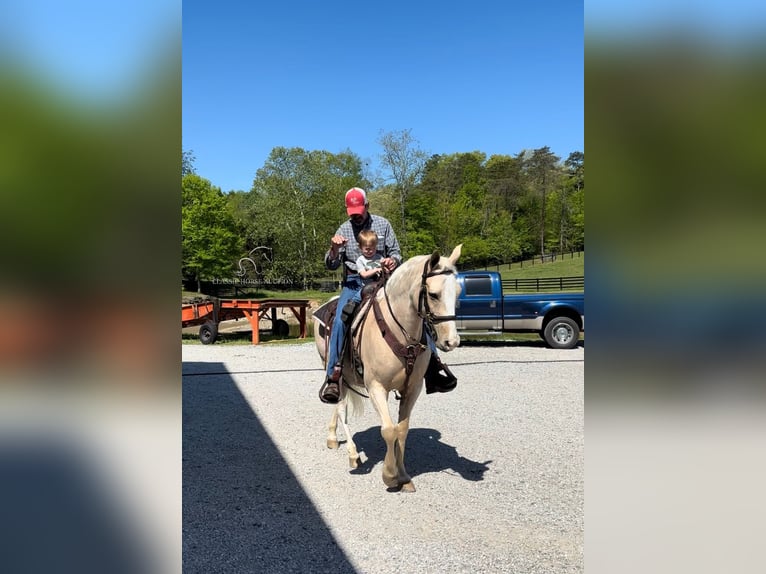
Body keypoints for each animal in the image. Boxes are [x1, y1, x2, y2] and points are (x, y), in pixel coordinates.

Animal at [316, 245, 464, 492]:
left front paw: (403, 476)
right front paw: (390, 475)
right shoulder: (376, 387)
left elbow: (401, 430)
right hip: (331, 369)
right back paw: (353, 454)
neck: (399, 332)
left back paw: (332, 437)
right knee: (340, 406)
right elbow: (388, 430)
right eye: (433, 294)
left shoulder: (412, 388)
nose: (451, 341)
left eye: (459, 292)